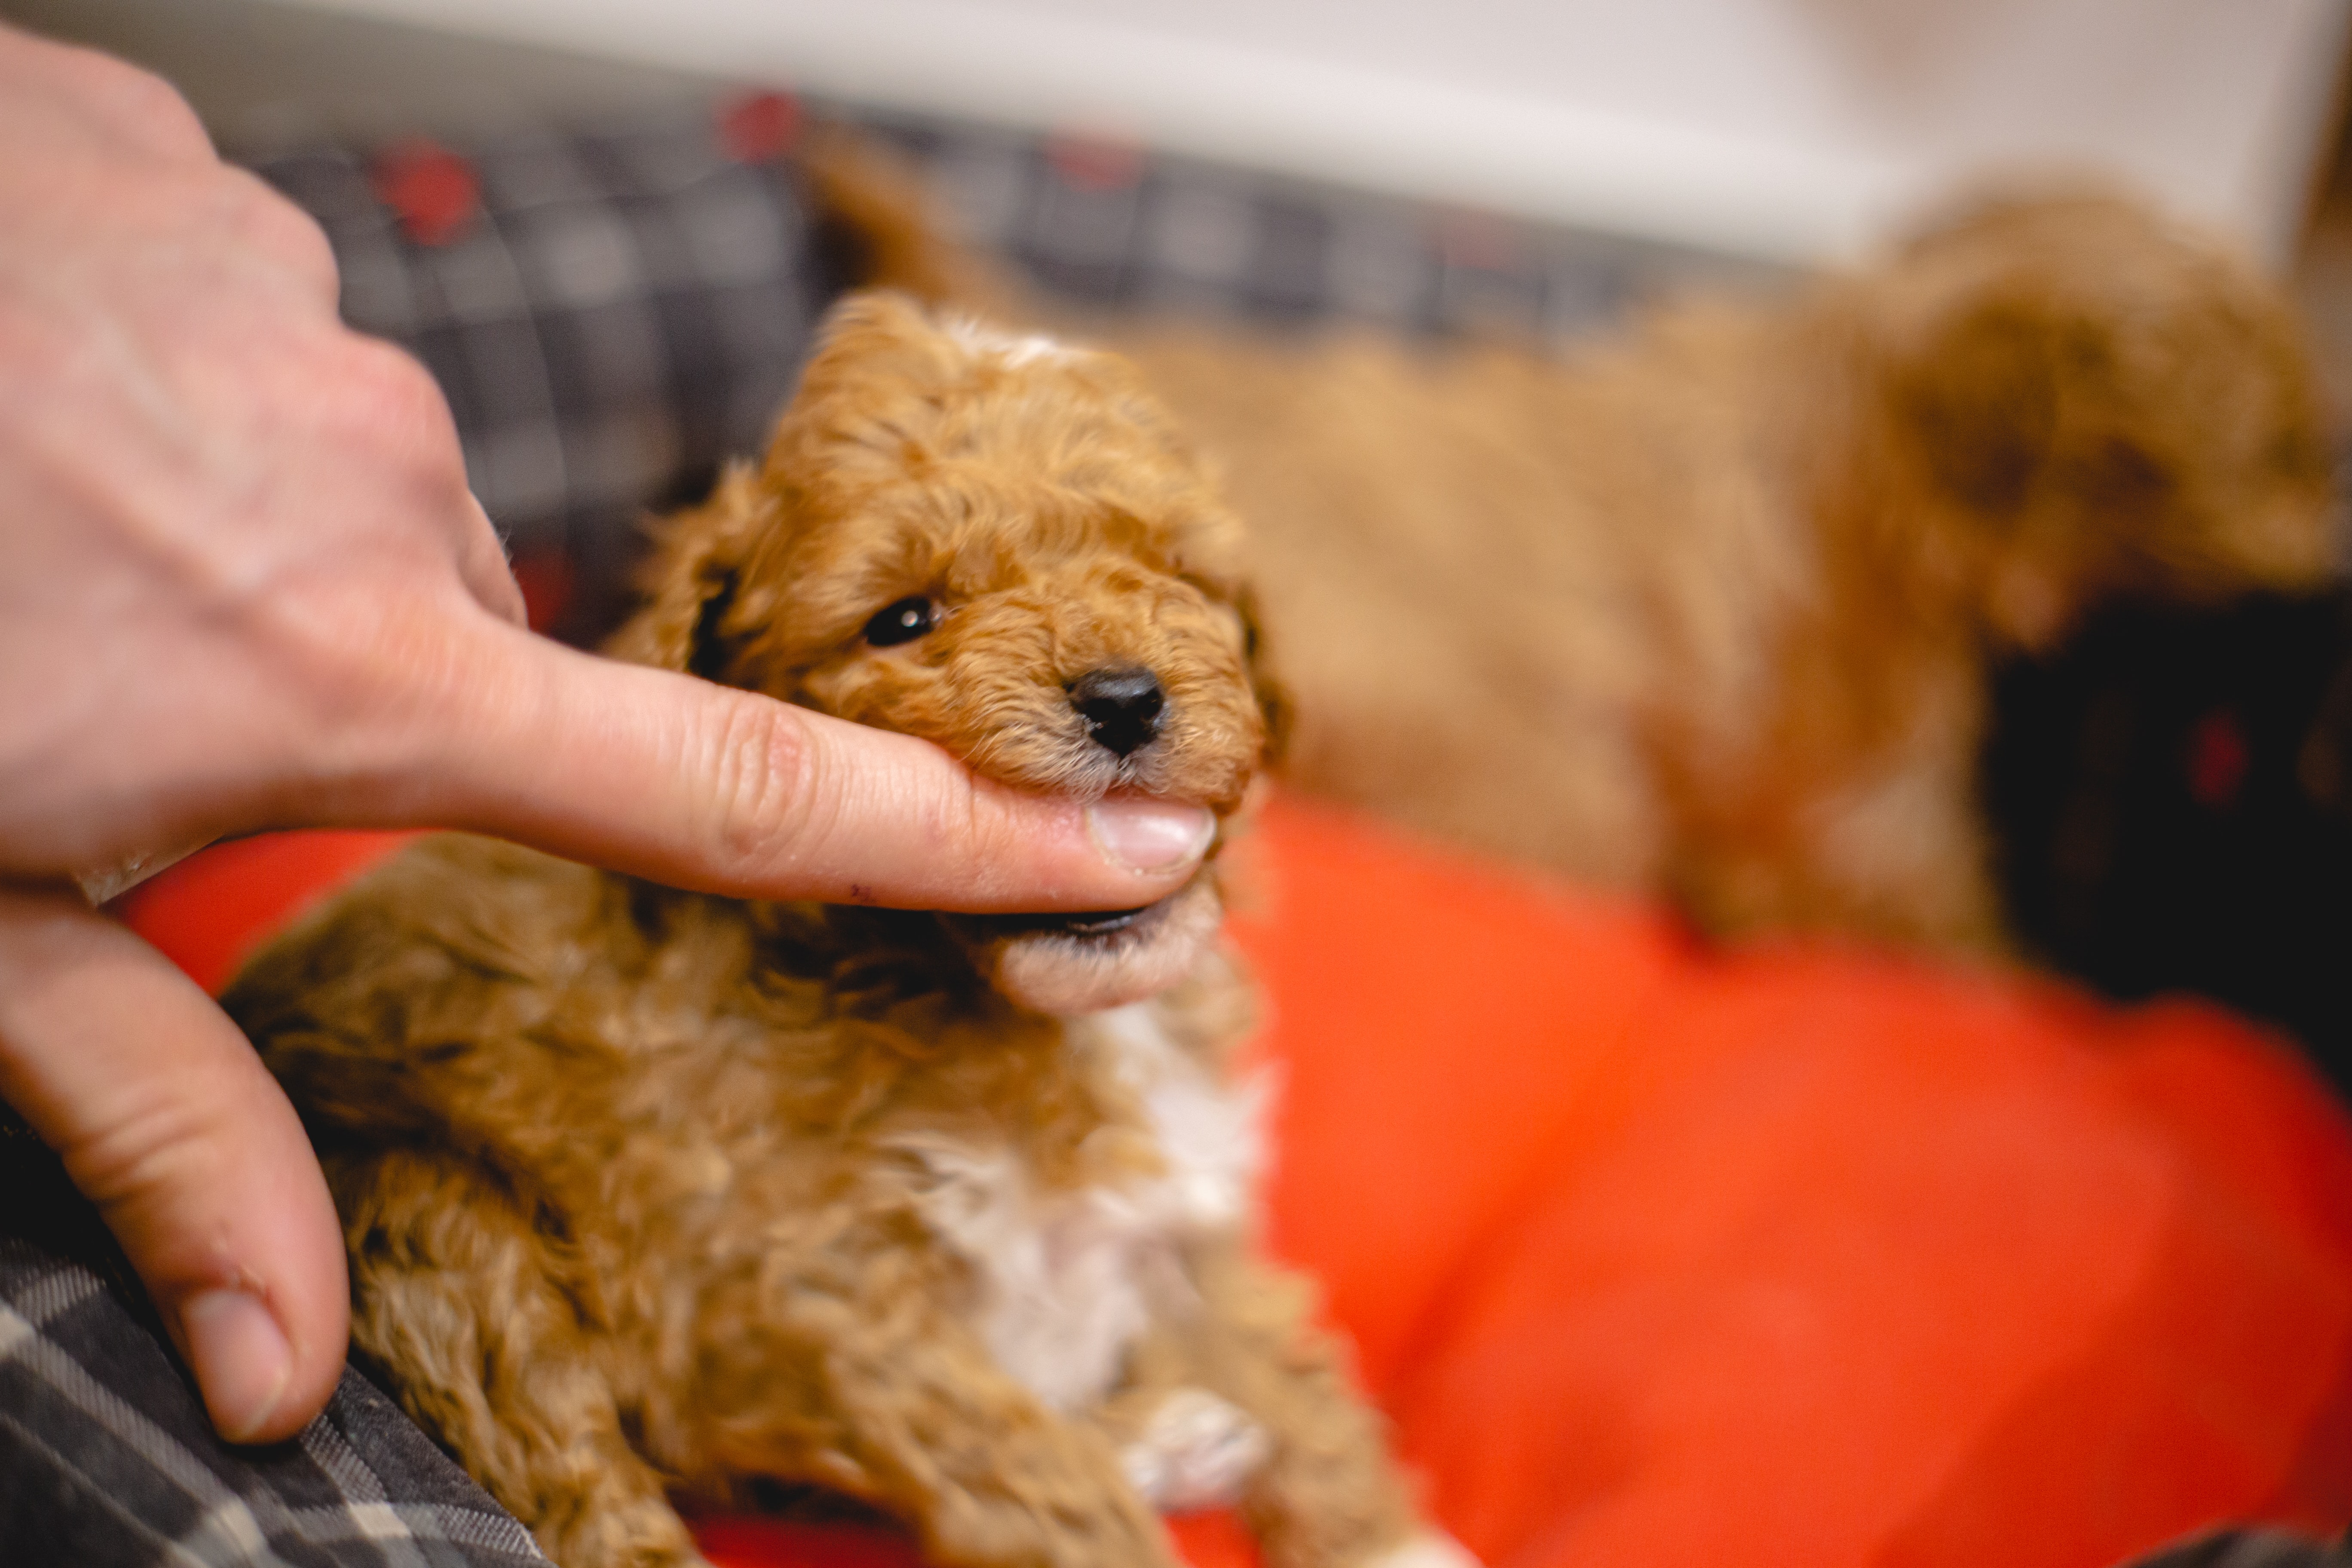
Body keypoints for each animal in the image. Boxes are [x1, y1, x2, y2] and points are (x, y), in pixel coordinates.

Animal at [229, 294, 1439, 1568]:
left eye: (1174, 573)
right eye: (901, 620)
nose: (1123, 698)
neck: (1021, 1020)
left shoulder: (1177, 1209)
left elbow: (1279, 1369)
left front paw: (1392, 1543)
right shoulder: (805, 1299)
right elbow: (1029, 1473)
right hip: (434, 1220)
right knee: (581, 1488)